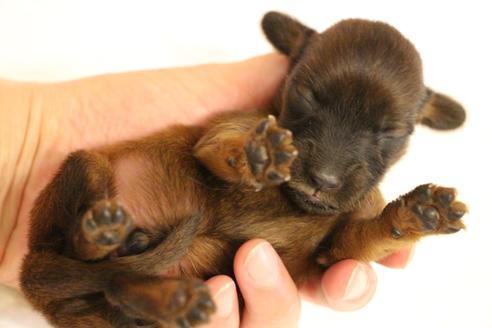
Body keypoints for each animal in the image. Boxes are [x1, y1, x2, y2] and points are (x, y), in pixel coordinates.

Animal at [21, 11, 468, 326]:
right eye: (304, 96)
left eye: (391, 133)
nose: (323, 180)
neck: (293, 203)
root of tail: (33, 278)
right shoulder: (219, 135)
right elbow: (226, 150)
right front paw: (261, 156)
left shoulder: (333, 252)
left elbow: (373, 234)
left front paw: (419, 214)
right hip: (87, 170)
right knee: (81, 249)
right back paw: (104, 234)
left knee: (117, 285)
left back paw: (169, 295)